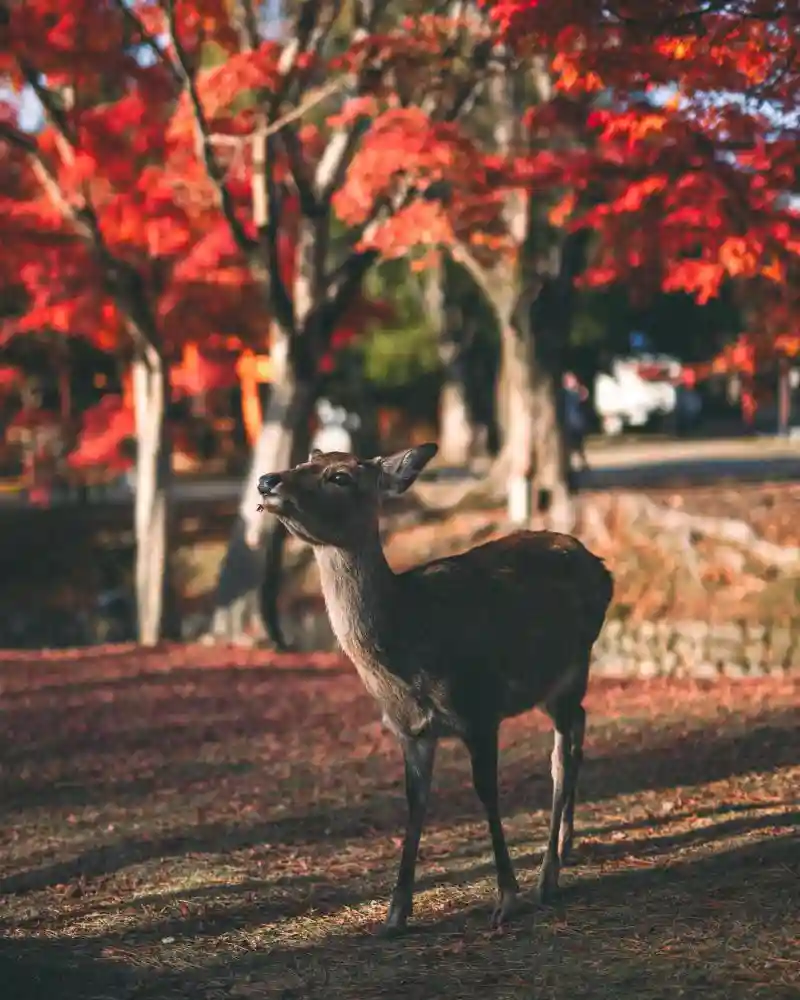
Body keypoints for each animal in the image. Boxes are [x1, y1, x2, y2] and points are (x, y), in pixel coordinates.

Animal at [256, 442, 612, 932]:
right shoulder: (410, 730)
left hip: (573, 669)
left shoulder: (479, 709)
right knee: (580, 725)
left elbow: (487, 792)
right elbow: (415, 802)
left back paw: (547, 876)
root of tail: (604, 568)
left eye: (340, 476)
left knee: (562, 755)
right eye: (304, 461)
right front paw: (395, 913)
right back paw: (564, 845)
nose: (267, 481)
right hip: (553, 685)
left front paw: (506, 898)